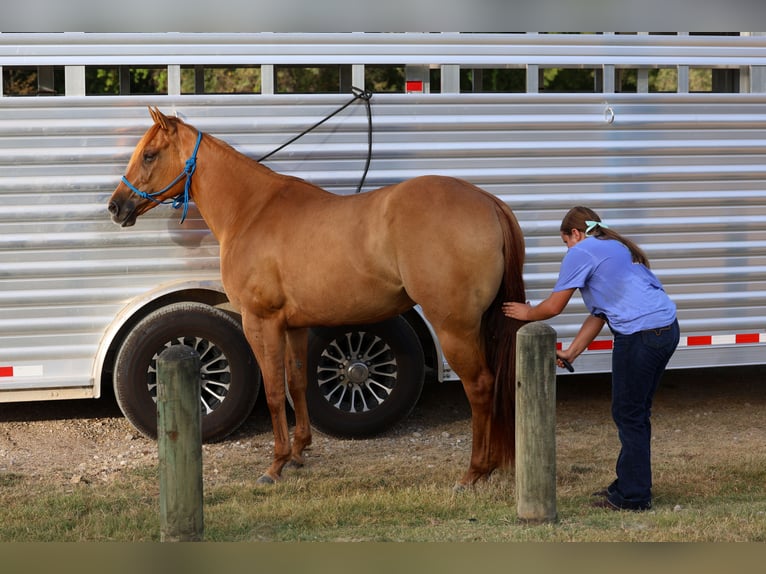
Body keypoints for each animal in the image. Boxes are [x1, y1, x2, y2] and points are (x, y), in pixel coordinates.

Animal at [108, 107, 527, 487]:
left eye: (149, 154)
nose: (116, 206)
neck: (251, 210)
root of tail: (488, 202)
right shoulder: (294, 326)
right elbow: (297, 385)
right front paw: (298, 452)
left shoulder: (261, 322)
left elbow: (274, 392)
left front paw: (275, 464)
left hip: (455, 327)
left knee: (480, 386)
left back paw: (474, 472)